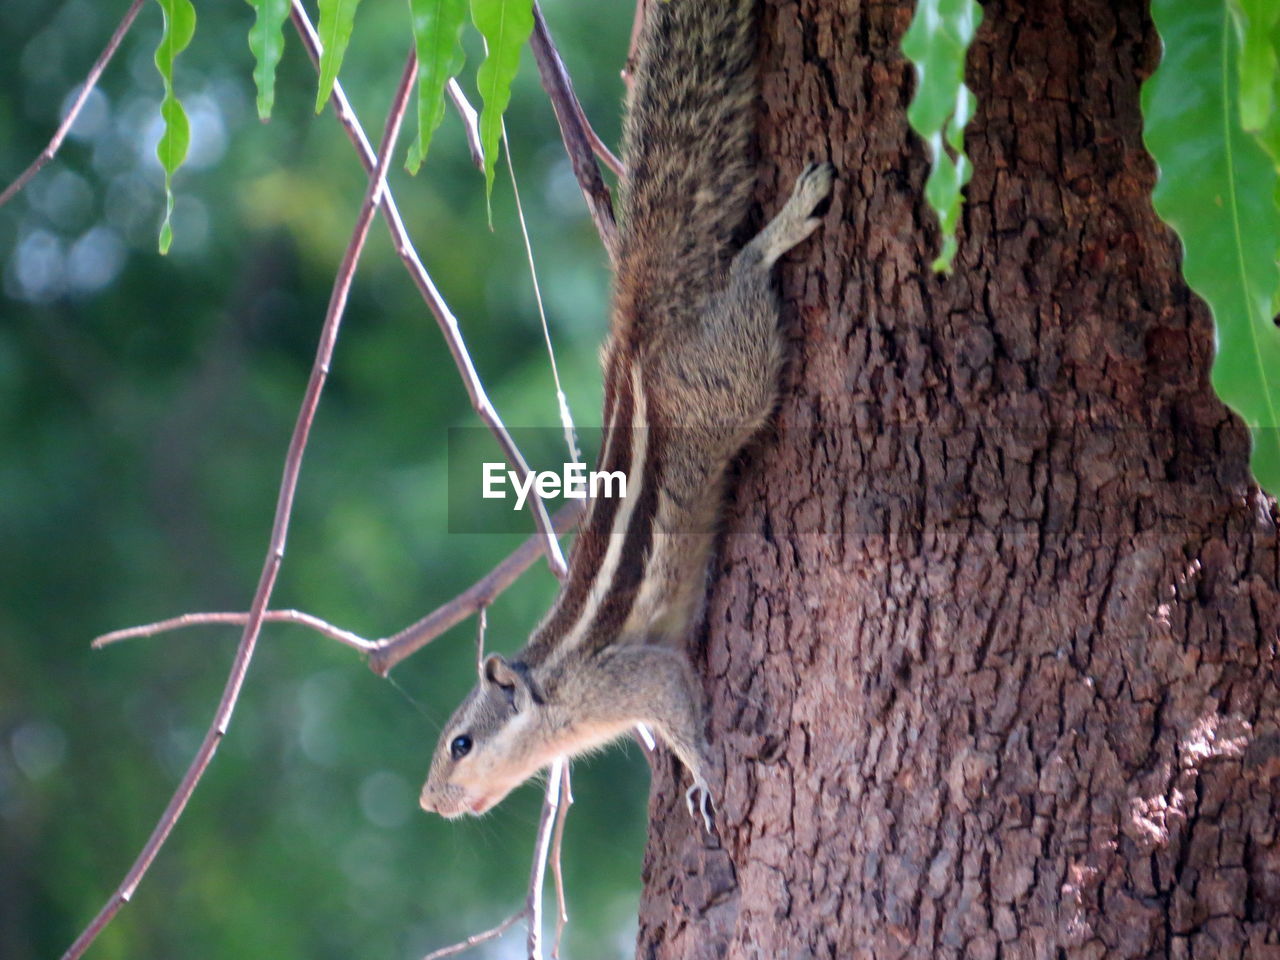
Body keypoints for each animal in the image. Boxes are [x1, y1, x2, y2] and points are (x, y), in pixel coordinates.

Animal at [419, 0, 834, 829]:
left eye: (460, 744)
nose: (429, 802)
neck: (551, 695)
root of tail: (638, 331)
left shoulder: (633, 675)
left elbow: (676, 703)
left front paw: (703, 769)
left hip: (727, 378)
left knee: (745, 283)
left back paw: (781, 227)